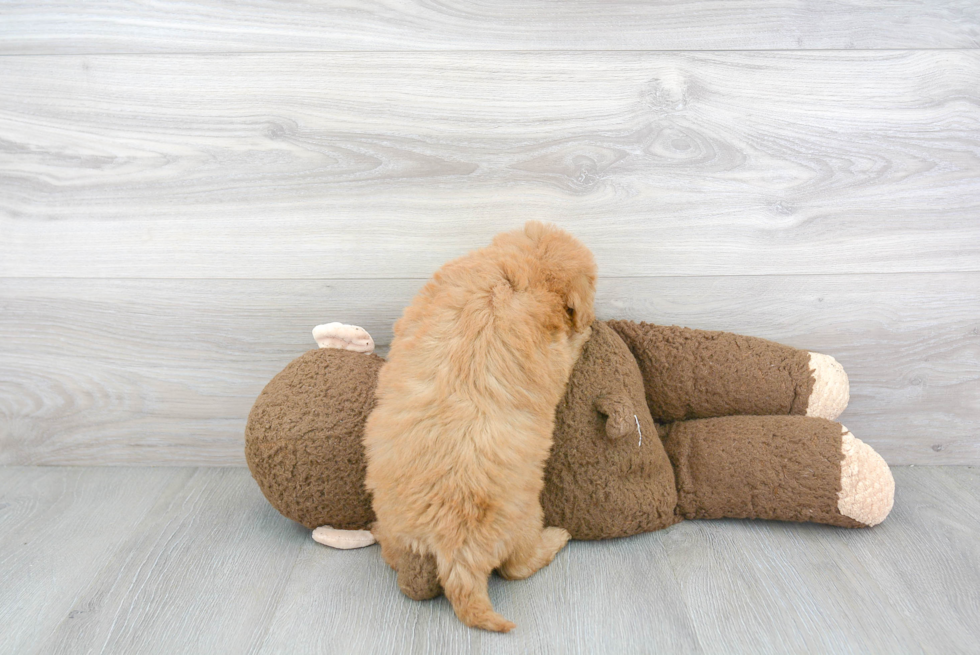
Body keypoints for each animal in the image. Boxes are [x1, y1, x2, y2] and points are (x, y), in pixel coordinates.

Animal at [364, 223, 596, 632]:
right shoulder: (554, 356)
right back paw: (557, 538)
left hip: (402, 534)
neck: (518, 273)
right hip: (524, 522)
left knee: (404, 570)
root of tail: (456, 552)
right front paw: (584, 332)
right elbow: (568, 350)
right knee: (518, 567)